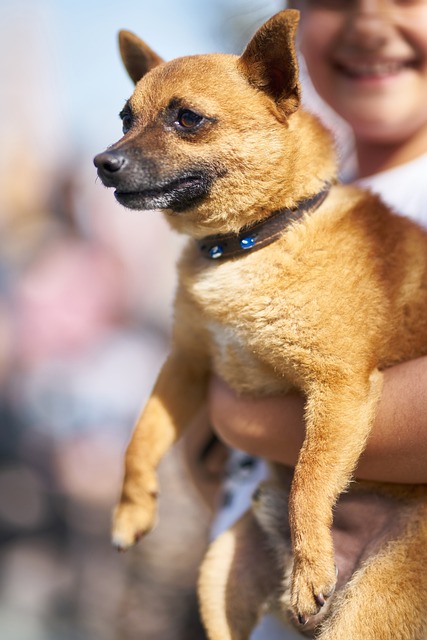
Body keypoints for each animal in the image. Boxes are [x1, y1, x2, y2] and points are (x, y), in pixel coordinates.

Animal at [94, 11, 427, 640]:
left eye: (187, 118)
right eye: (125, 118)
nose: (103, 162)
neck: (246, 246)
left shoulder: (338, 388)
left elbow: (309, 477)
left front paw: (310, 565)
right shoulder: (187, 365)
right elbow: (141, 437)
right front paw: (131, 508)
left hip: (367, 614)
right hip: (219, 574)